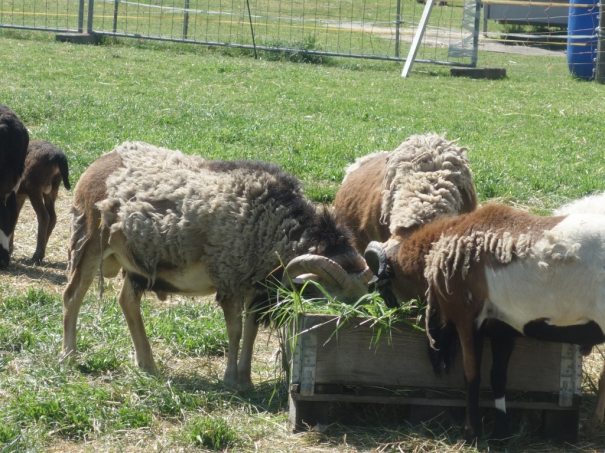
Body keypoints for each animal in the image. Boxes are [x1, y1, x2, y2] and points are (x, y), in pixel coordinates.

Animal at [364, 204, 604, 442]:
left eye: (384, 286)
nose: (394, 311)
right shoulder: (503, 327)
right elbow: (498, 377)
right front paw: (501, 433)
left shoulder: (467, 318)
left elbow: (472, 374)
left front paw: (471, 432)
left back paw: (592, 424)